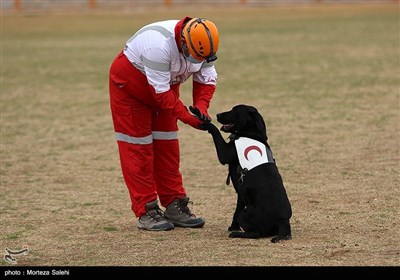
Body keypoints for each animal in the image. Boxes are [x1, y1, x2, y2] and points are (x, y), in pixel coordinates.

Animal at [191, 104, 290, 242]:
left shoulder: (225, 153)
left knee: (256, 233)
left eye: (235, 110)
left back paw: (236, 234)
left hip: (246, 214)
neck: (250, 134)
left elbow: (215, 129)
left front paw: (205, 122)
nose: (217, 115)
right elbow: (236, 210)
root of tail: (283, 221)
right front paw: (233, 226)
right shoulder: (240, 195)